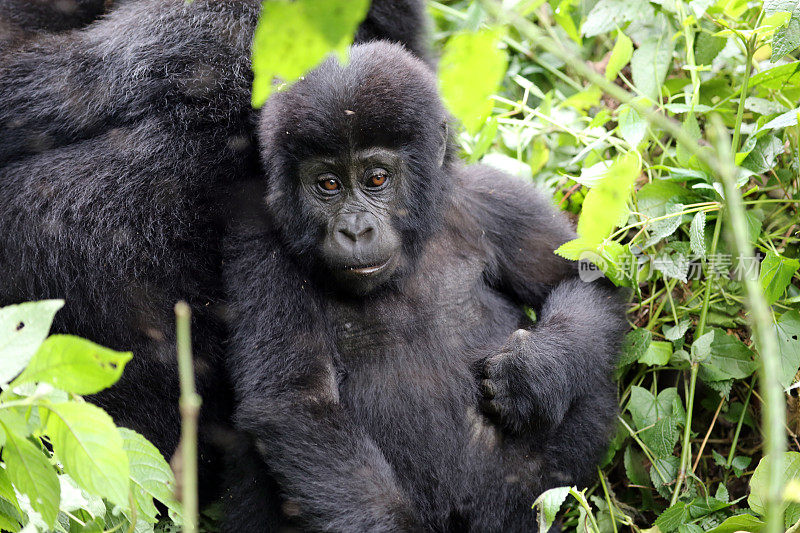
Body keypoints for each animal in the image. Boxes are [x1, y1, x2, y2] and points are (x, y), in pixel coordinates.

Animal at [223, 42, 624, 532]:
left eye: (376, 178)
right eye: (328, 184)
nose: (355, 231)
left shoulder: (490, 196)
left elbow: (584, 277)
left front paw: (534, 371)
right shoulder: (261, 246)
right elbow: (297, 399)